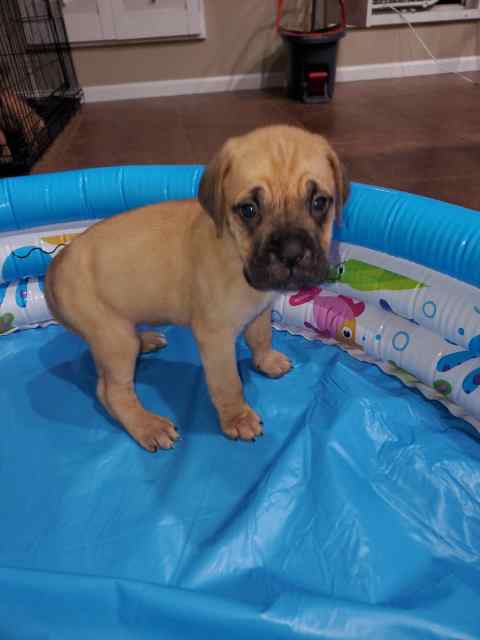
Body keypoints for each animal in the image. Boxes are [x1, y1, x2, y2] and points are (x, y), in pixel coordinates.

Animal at [45, 125, 348, 452]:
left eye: (319, 202)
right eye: (249, 210)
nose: (291, 252)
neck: (235, 251)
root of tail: (54, 268)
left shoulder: (260, 311)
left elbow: (261, 337)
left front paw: (266, 361)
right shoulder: (215, 337)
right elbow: (227, 383)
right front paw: (237, 418)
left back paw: (145, 341)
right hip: (113, 338)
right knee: (110, 392)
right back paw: (147, 425)